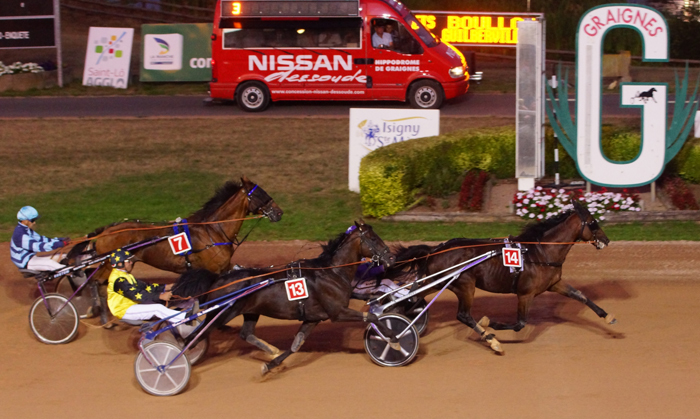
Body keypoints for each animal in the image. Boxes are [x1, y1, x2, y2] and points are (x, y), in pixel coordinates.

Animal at [68, 176, 283, 277]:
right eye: (260, 193)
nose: (279, 212)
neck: (213, 232)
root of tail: (105, 231)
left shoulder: (224, 267)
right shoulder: (212, 270)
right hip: (108, 263)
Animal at [172, 220, 397, 373]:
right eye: (374, 238)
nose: (391, 258)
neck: (331, 272)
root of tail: (219, 278)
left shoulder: (313, 318)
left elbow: (296, 345)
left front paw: (271, 364)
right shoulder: (338, 312)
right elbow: (372, 317)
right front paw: (393, 339)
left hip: (250, 312)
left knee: (245, 334)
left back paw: (271, 350)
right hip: (221, 315)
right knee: (193, 337)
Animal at [387, 200, 614, 355]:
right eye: (593, 222)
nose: (606, 240)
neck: (540, 254)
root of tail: (436, 249)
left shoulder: (555, 283)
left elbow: (581, 296)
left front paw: (608, 316)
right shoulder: (525, 294)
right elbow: (520, 323)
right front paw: (491, 323)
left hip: (439, 281)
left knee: (413, 297)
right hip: (464, 285)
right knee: (463, 315)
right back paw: (491, 339)